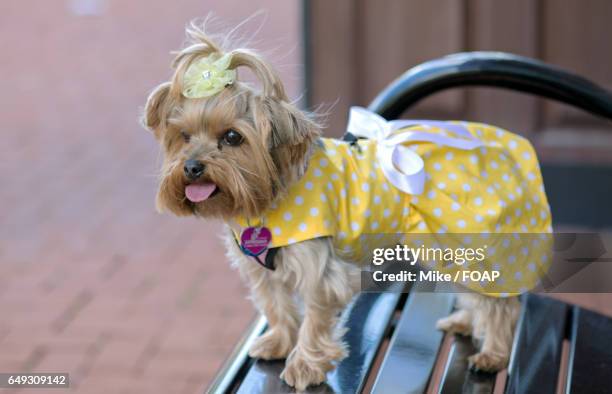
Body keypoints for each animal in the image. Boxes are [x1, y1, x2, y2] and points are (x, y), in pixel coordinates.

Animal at [142, 23, 548, 390]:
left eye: (231, 137)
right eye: (184, 136)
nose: (192, 167)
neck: (267, 201)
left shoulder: (322, 272)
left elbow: (315, 318)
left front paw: (305, 365)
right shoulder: (261, 270)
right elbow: (276, 305)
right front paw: (279, 343)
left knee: (501, 303)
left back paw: (493, 353)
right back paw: (465, 322)